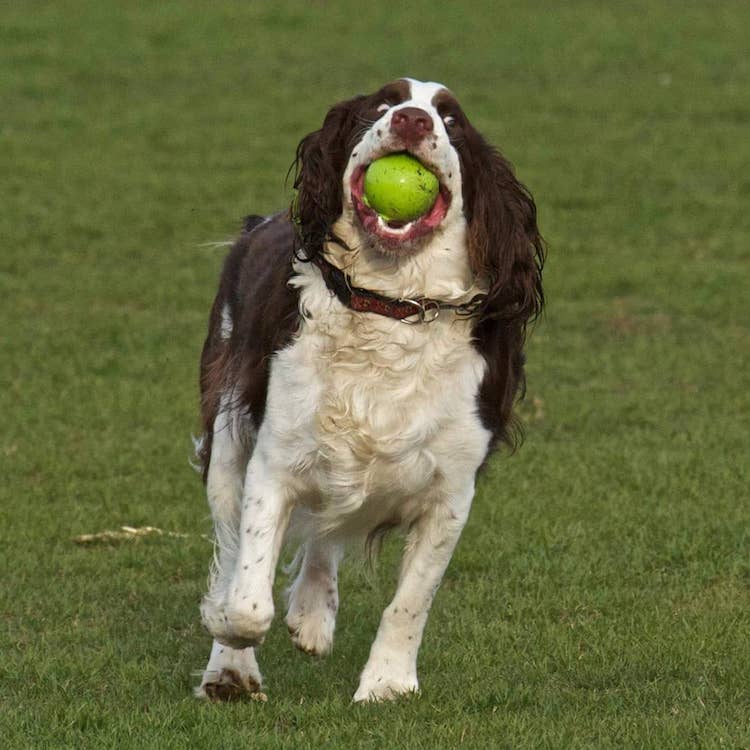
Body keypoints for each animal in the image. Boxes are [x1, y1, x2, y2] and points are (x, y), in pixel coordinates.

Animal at [194, 79, 548, 704]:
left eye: (451, 120)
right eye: (381, 104)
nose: (411, 120)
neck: (389, 304)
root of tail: (258, 224)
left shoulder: (451, 490)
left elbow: (411, 600)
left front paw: (387, 682)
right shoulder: (273, 457)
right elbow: (247, 599)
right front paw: (228, 638)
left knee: (329, 529)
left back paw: (312, 614)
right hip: (228, 425)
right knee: (239, 540)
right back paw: (232, 668)